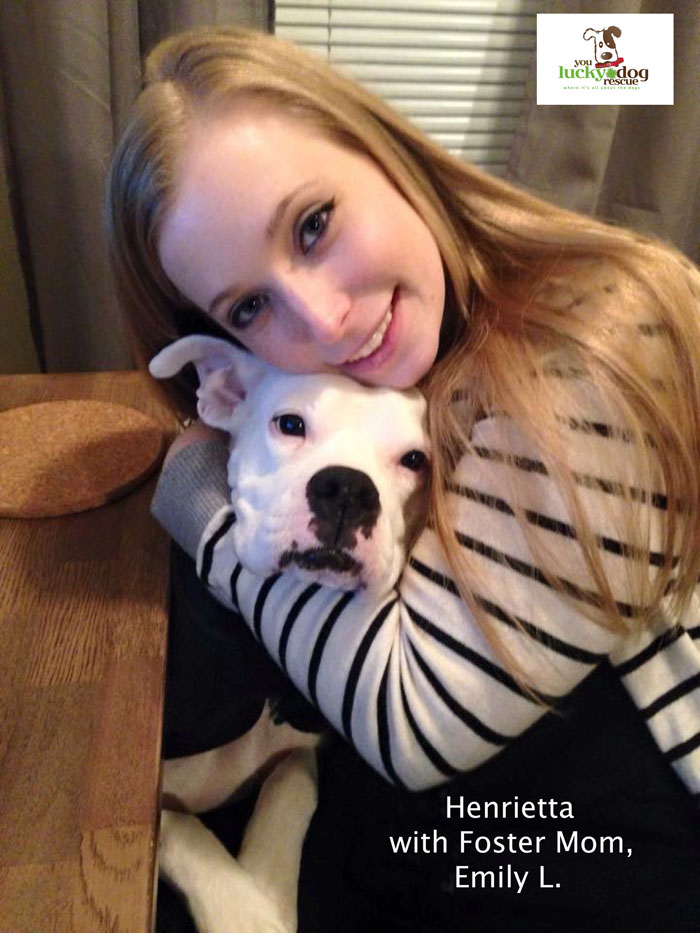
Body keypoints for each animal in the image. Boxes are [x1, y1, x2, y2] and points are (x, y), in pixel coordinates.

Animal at [149, 334, 431, 932]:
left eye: (415, 460)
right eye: (290, 424)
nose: (347, 488)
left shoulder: (304, 749)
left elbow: (288, 787)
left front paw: (267, 892)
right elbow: (176, 828)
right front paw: (242, 910)